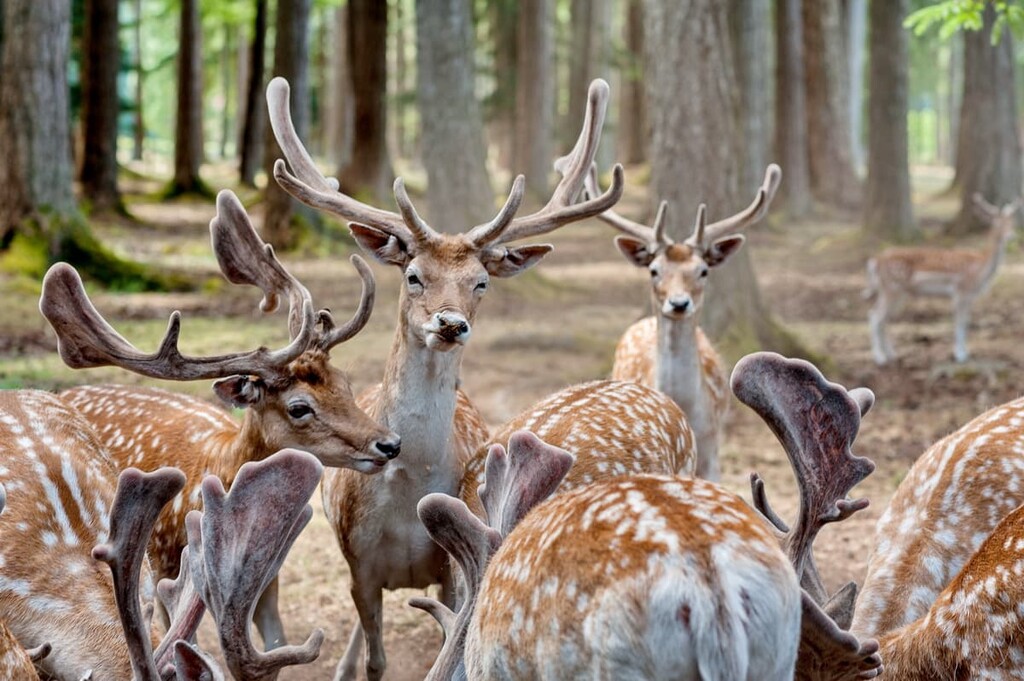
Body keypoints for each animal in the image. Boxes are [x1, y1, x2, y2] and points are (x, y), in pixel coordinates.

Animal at [38, 189, 399, 652]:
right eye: (299, 407)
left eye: (345, 383)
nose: (389, 443)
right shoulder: (166, 566)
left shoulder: (269, 577)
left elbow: (275, 640)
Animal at [266, 75, 623, 680]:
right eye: (413, 275)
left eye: (481, 281)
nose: (451, 324)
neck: (405, 501)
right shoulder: (360, 564)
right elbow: (377, 660)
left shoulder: (452, 570)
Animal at [865, 193, 1020, 365]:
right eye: (997, 223)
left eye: (1012, 222)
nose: (1011, 236)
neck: (980, 268)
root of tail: (874, 261)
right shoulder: (961, 291)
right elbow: (960, 322)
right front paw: (960, 355)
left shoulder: (969, 296)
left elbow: (966, 321)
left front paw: (965, 352)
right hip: (891, 289)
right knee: (874, 316)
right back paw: (879, 357)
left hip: (898, 293)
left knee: (884, 319)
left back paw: (891, 354)